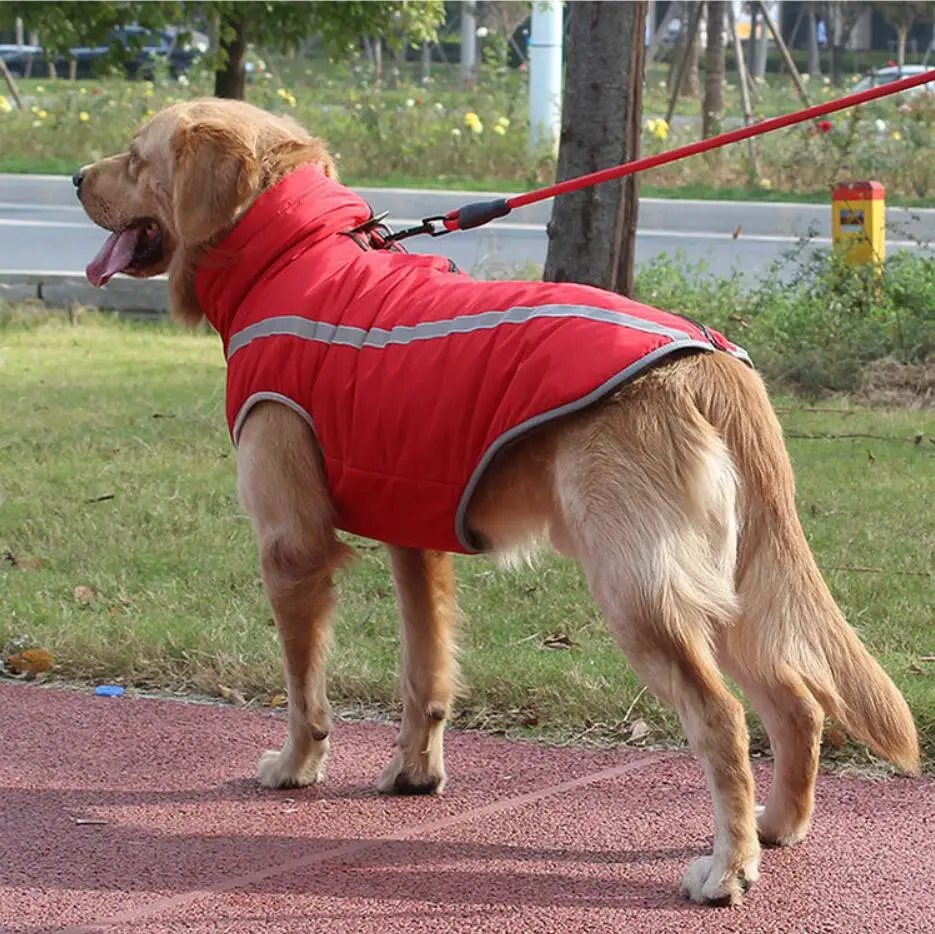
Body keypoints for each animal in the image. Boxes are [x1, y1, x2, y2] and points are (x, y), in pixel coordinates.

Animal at [75, 100, 920, 908]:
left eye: (135, 155)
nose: (78, 176)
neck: (296, 254)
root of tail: (707, 360)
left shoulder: (292, 546)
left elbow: (302, 689)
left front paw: (295, 765)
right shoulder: (414, 538)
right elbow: (424, 676)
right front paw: (413, 773)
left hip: (640, 595)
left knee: (723, 719)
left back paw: (727, 870)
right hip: (728, 586)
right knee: (798, 702)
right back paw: (775, 828)